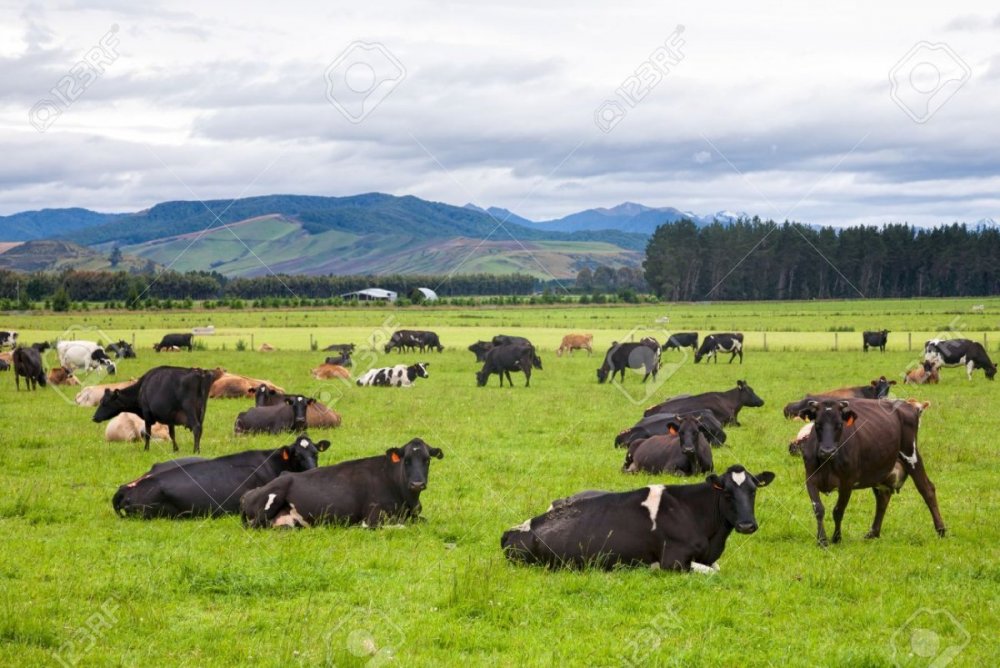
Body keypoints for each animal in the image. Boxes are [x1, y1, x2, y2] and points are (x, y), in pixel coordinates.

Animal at [91, 366, 219, 454]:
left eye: (104, 403)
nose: (94, 417)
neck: (141, 389)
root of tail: (200, 372)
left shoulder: (147, 415)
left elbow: (148, 434)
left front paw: (146, 449)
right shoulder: (170, 418)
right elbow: (172, 434)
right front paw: (175, 449)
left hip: (189, 409)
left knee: (196, 428)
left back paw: (196, 450)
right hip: (201, 411)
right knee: (200, 428)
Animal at [504, 468, 776, 572]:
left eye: (753, 491)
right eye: (727, 493)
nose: (747, 525)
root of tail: (511, 530)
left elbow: (716, 568)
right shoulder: (673, 562)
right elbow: (713, 573)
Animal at [788, 400, 944, 544]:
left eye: (839, 425)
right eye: (817, 425)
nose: (828, 451)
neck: (827, 462)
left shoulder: (847, 483)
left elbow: (838, 511)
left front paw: (836, 538)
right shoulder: (810, 479)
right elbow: (818, 509)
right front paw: (822, 540)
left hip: (911, 455)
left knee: (927, 489)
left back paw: (941, 529)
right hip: (880, 470)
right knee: (883, 498)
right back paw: (873, 533)